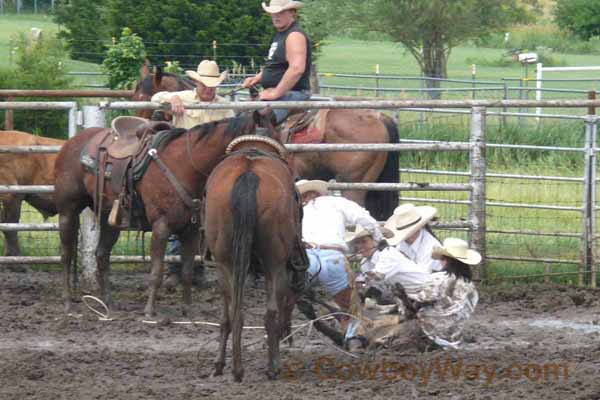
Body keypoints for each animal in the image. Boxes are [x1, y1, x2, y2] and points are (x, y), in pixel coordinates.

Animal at [54, 111, 270, 316]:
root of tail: (71, 143)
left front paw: (187, 309)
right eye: (263, 138)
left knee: (101, 254)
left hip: (111, 218)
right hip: (68, 211)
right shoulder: (161, 227)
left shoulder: (191, 231)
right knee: (66, 255)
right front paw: (149, 310)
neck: (184, 165)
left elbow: (187, 272)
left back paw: (108, 302)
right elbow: (156, 271)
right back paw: (67, 302)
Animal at [205, 128, 304, 382]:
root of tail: (249, 174)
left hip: (225, 264)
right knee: (270, 313)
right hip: (274, 264)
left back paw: (234, 368)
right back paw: (272, 366)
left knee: (234, 314)